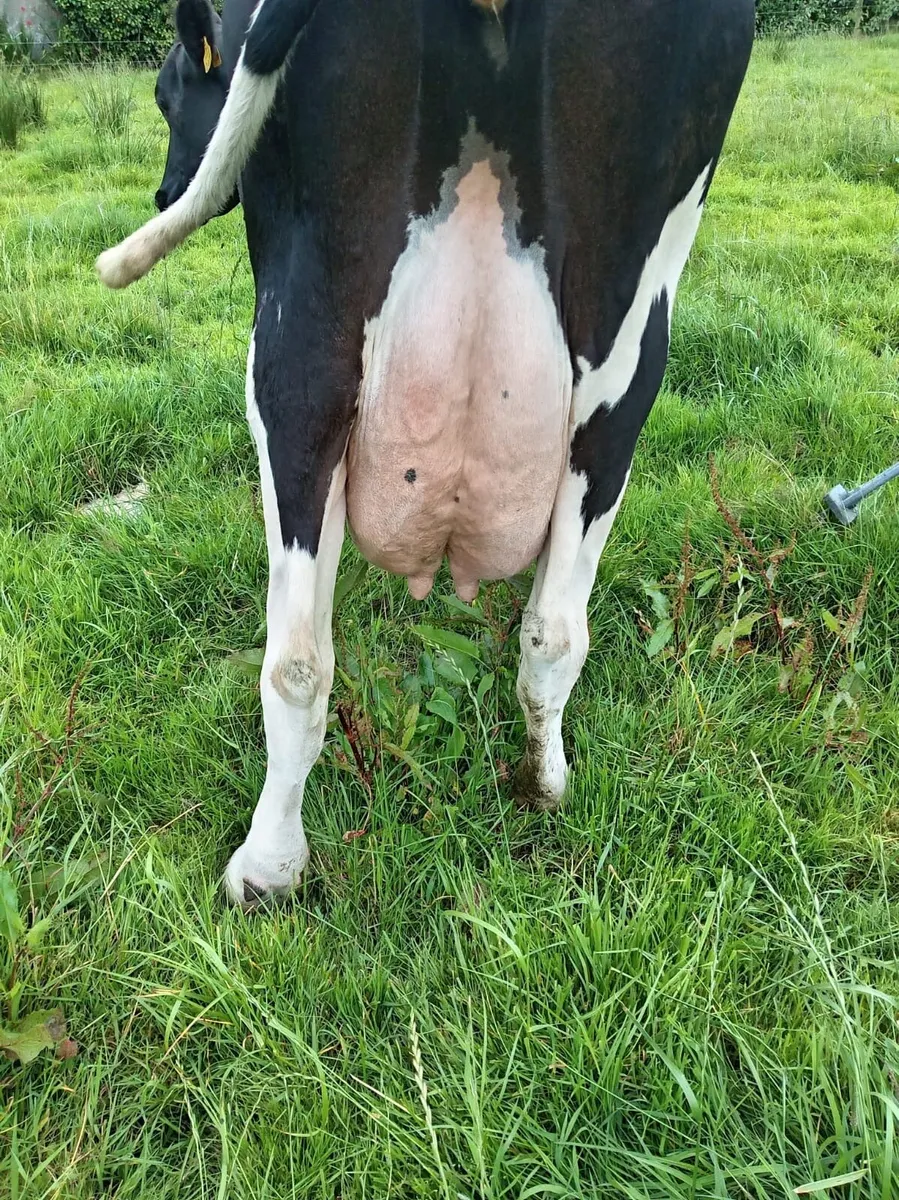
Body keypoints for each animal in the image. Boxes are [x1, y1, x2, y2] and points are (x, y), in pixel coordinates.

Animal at [97, 0, 754, 906]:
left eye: (165, 95)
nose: (165, 191)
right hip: (625, 357)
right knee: (556, 628)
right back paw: (543, 784)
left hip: (297, 345)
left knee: (296, 660)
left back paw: (266, 868)